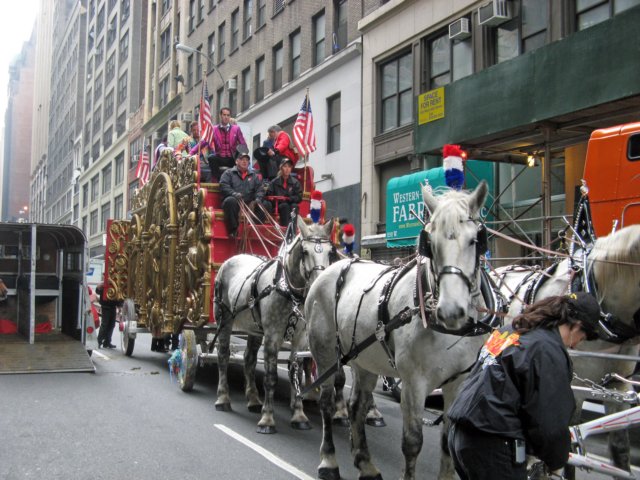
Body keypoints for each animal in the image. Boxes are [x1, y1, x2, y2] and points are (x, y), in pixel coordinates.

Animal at [214, 218, 336, 436]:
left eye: (331, 252)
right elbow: (271, 377)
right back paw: (223, 398)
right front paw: (267, 419)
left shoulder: (299, 339)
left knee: (249, 359)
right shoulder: (272, 336)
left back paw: (253, 400)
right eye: (305, 251)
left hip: (254, 328)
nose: (319, 283)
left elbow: (295, 373)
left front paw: (299, 415)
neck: (288, 290)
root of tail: (234, 257)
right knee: (223, 355)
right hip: (224, 319)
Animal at [306, 182, 500, 478]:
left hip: (364, 359)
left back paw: (366, 463)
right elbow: (412, 443)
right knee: (327, 402)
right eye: (429, 243)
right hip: (325, 352)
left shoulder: (459, 381)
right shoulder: (413, 383)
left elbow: (446, 443)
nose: (451, 311)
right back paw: (328, 460)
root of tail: (332, 267)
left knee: (356, 407)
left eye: (475, 240)